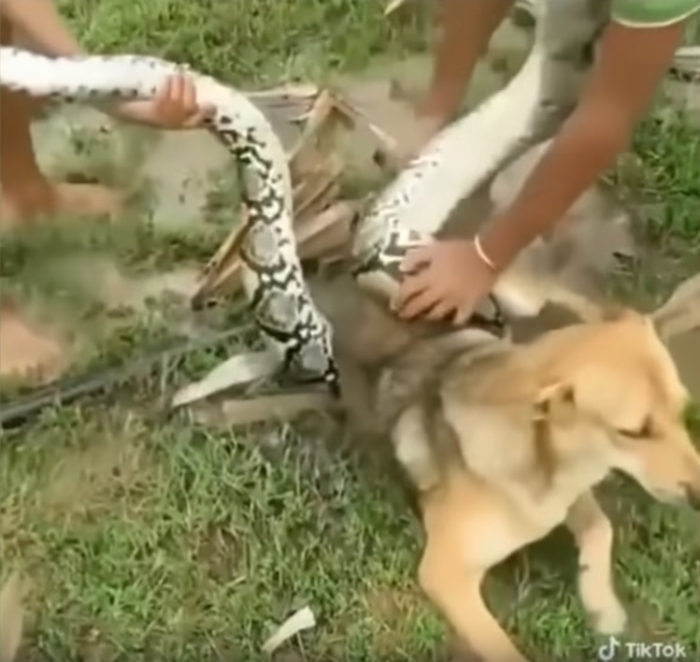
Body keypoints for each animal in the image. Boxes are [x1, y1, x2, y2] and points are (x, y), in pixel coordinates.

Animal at [314, 274, 700, 662]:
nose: (699, 497)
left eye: (682, 410)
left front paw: (601, 605)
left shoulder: (570, 491)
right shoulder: (444, 572)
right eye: (633, 432)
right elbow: (505, 651)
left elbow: (600, 528)